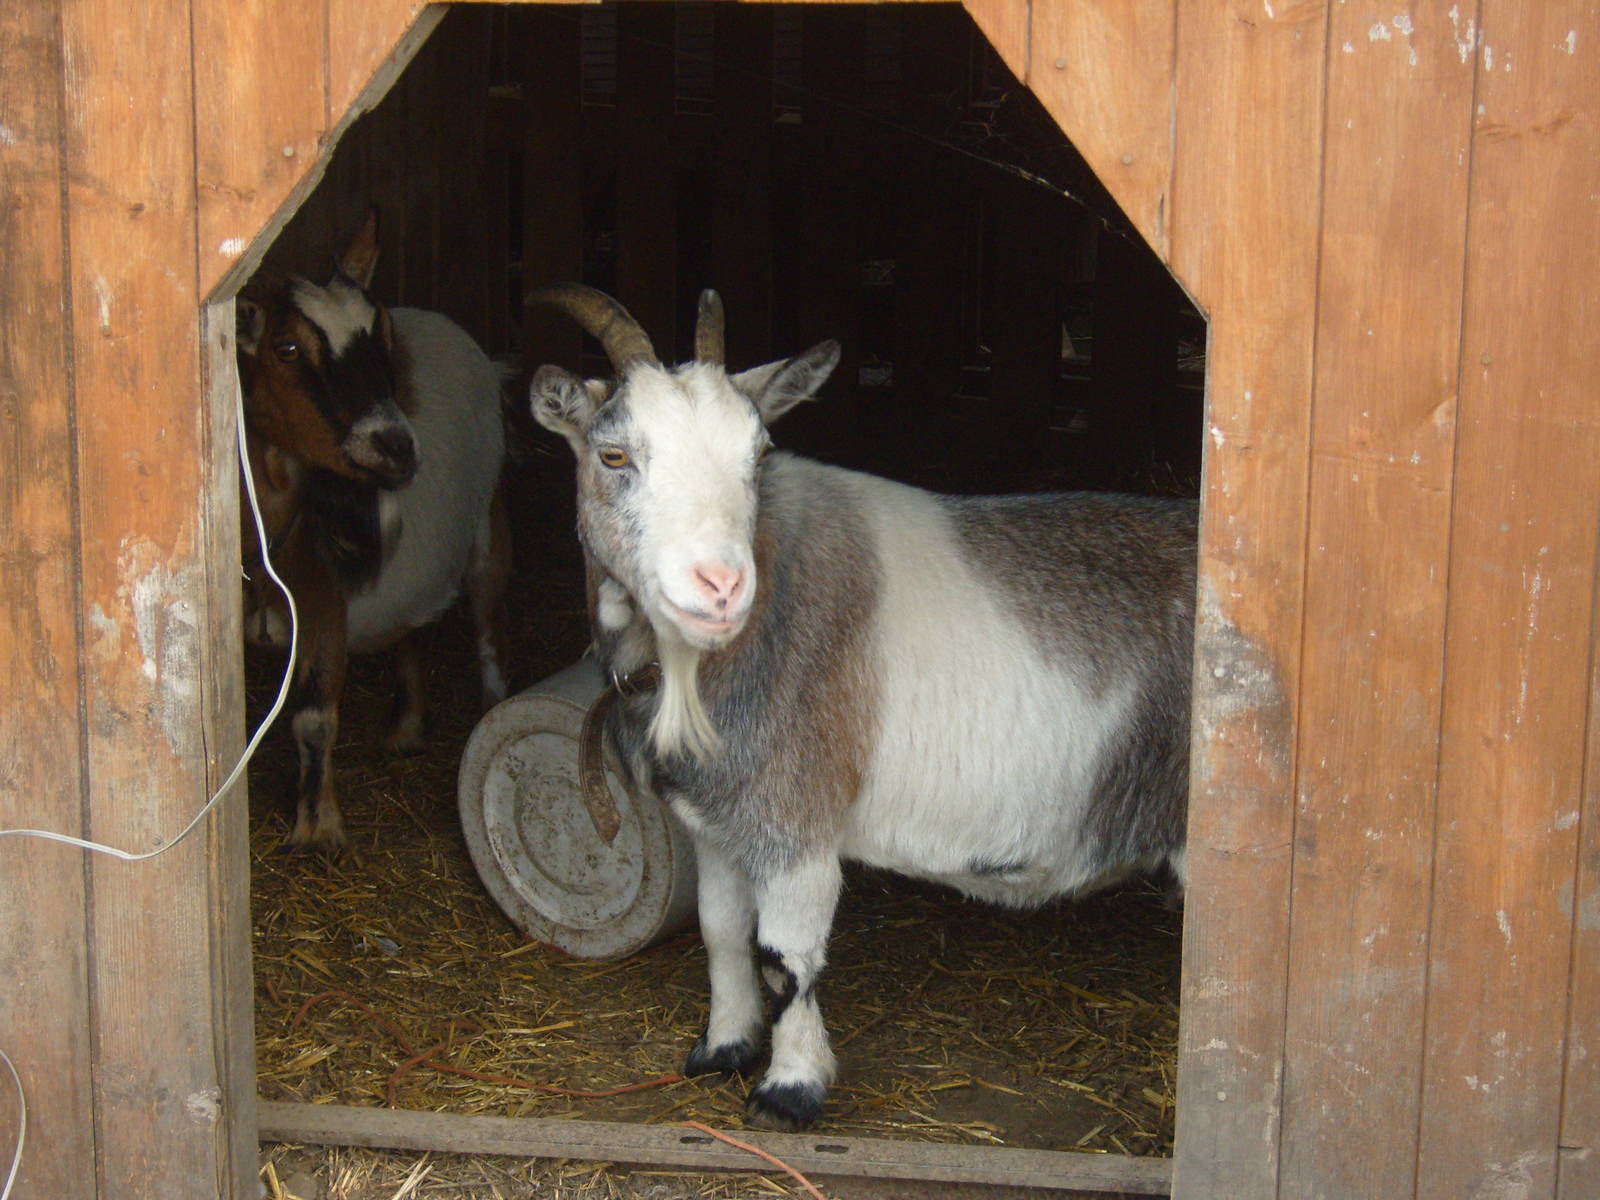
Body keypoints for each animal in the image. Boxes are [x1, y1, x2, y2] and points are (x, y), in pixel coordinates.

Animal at [238, 213, 510, 850]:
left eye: (379, 330)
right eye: (287, 348)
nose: (397, 446)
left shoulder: (324, 605)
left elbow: (313, 719)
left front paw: (318, 831)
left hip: (489, 519)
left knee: (486, 617)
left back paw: (490, 706)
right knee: (414, 628)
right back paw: (406, 728)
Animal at [528, 283, 1196, 1132]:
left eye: (757, 455)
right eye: (613, 455)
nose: (722, 585)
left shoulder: (798, 820)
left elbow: (787, 956)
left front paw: (789, 1091)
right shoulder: (718, 820)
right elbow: (721, 932)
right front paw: (722, 1048)